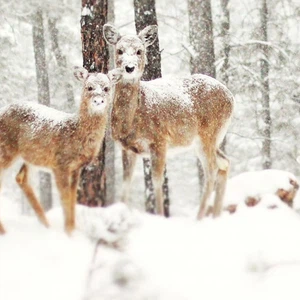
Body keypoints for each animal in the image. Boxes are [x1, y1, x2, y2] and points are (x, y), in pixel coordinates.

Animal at [0, 66, 122, 234]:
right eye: (89, 87)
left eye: (106, 88)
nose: (98, 100)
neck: (75, 133)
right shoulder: (60, 164)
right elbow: (64, 197)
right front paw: (68, 232)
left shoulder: (76, 168)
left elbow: (72, 197)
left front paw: (72, 228)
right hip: (7, 150)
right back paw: (5, 231)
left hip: (32, 157)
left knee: (21, 178)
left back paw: (45, 224)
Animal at [104, 24, 236, 219]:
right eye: (119, 50)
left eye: (139, 50)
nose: (129, 67)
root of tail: (231, 97)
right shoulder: (127, 148)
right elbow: (126, 183)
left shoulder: (159, 140)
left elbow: (157, 181)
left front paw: (160, 215)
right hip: (207, 140)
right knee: (224, 163)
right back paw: (215, 216)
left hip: (208, 133)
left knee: (211, 170)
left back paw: (199, 217)